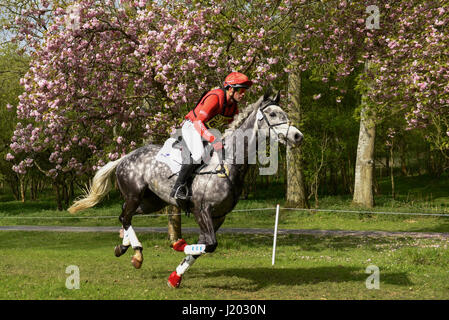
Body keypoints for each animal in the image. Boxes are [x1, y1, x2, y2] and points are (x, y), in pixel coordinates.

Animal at [66, 89, 302, 288]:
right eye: (273, 114)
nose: (297, 136)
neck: (229, 164)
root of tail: (125, 156)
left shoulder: (218, 217)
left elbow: (202, 248)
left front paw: (175, 277)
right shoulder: (202, 210)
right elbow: (209, 245)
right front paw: (178, 245)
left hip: (152, 202)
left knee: (125, 215)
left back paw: (125, 247)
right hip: (135, 194)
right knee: (125, 215)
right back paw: (137, 251)